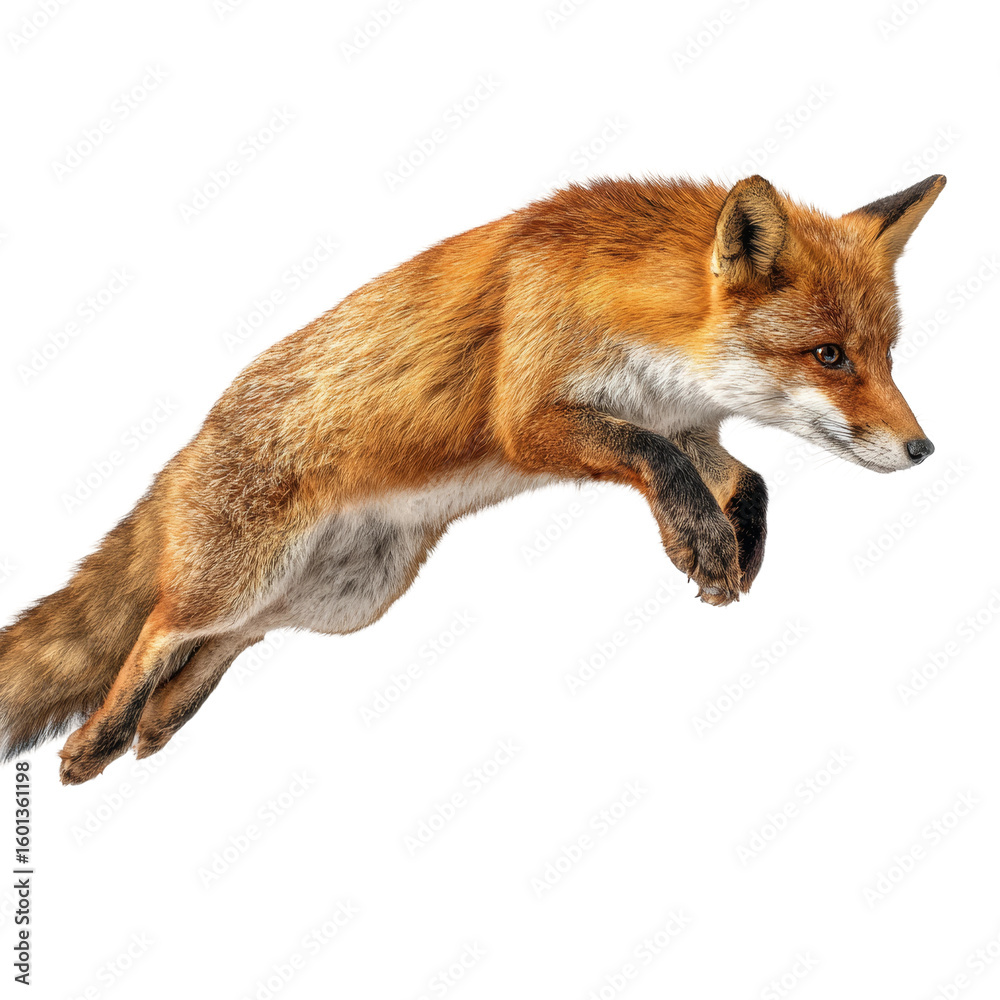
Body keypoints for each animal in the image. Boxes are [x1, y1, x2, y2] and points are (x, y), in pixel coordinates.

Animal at [0, 172, 944, 784]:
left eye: (886, 355)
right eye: (829, 356)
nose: (922, 449)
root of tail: (194, 441)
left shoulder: (682, 419)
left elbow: (746, 479)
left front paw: (731, 547)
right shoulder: (533, 419)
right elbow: (663, 464)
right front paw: (704, 544)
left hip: (347, 598)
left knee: (230, 641)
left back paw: (158, 723)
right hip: (240, 575)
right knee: (162, 628)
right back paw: (95, 741)